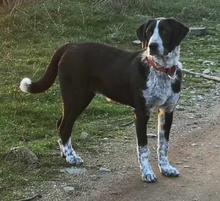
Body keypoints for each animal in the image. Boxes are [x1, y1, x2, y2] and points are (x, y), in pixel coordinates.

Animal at [19, 18, 189, 183]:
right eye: (149, 32)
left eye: (165, 31)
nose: (152, 46)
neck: (161, 70)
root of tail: (70, 45)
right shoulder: (141, 114)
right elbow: (143, 148)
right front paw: (147, 173)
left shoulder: (167, 111)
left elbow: (163, 145)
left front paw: (166, 168)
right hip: (76, 97)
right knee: (64, 126)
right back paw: (71, 157)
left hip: (76, 99)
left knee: (60, 123)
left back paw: (65, 154)